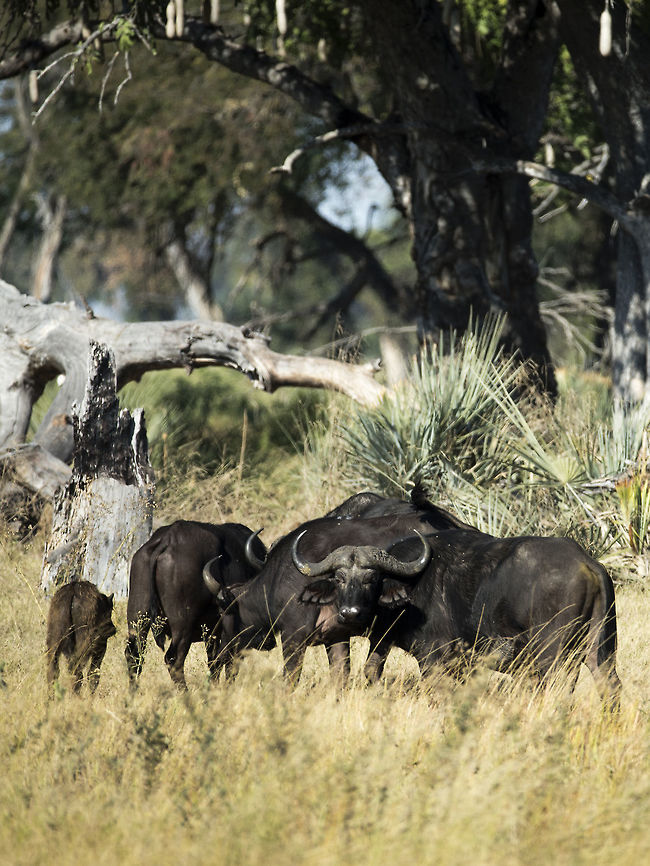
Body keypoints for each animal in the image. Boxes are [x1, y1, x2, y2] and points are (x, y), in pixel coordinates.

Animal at [125, 520, 266, 688]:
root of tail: (167, 540)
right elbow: (229, 664)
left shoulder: (213, 633)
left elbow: (215, 662)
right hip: (183, 626)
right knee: (173, 659)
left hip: (138, 620)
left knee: (134, 656)